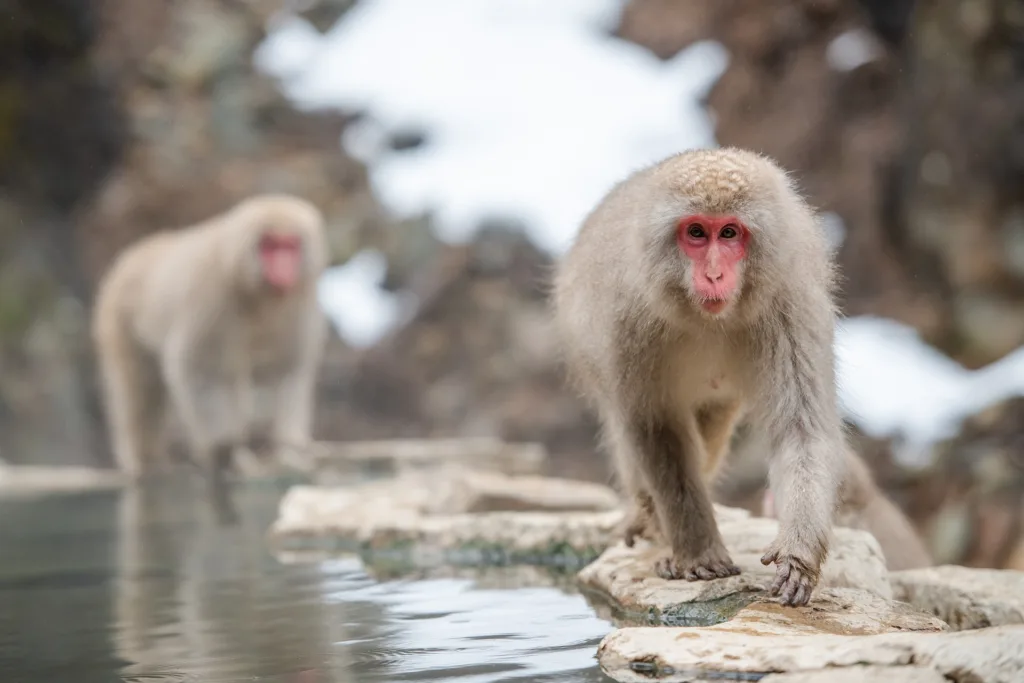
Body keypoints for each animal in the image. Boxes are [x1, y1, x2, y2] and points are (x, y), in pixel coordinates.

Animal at [93, 192, 327, 481]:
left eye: (290, 246)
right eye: (270, 246)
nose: (284, 269)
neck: (257, 296)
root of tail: (133, 254)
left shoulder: (298, 302)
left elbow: (286, 371)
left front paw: (288, 452)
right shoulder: (212, 296)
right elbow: (201, 371)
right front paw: (225, 452)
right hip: (118, 319)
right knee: (141, 390)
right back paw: (147, 462)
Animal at [557, 147, 843, 606]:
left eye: (728, 233)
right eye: (695, 232)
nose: (713, 275)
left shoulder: (791, 306)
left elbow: (801, 427)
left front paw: (797, 557)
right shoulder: (626, 322)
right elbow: (655, 429)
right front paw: (697, 553)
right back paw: (651, 520)